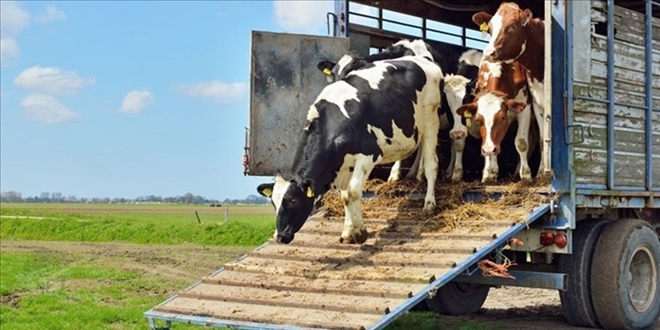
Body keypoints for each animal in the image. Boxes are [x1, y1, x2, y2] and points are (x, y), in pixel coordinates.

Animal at [258, 52, 444, 245]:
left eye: (292, 201)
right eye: (273, 203)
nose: (279, 236)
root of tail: (423, 60)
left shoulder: (368, 154)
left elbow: (353, 192)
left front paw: (359, 232)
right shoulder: (343, 165)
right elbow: (345, 196)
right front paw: (349, 231)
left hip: (431, 120)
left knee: (432, 164)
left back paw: (429, 204)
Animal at [472, 2, 548, 175]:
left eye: (512, 27)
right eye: (490, 29)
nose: (489, 53)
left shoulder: (526, 105)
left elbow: (522, 141)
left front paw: (529, 174)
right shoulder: (537, 103)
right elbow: (542, 139)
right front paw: (489, 172)